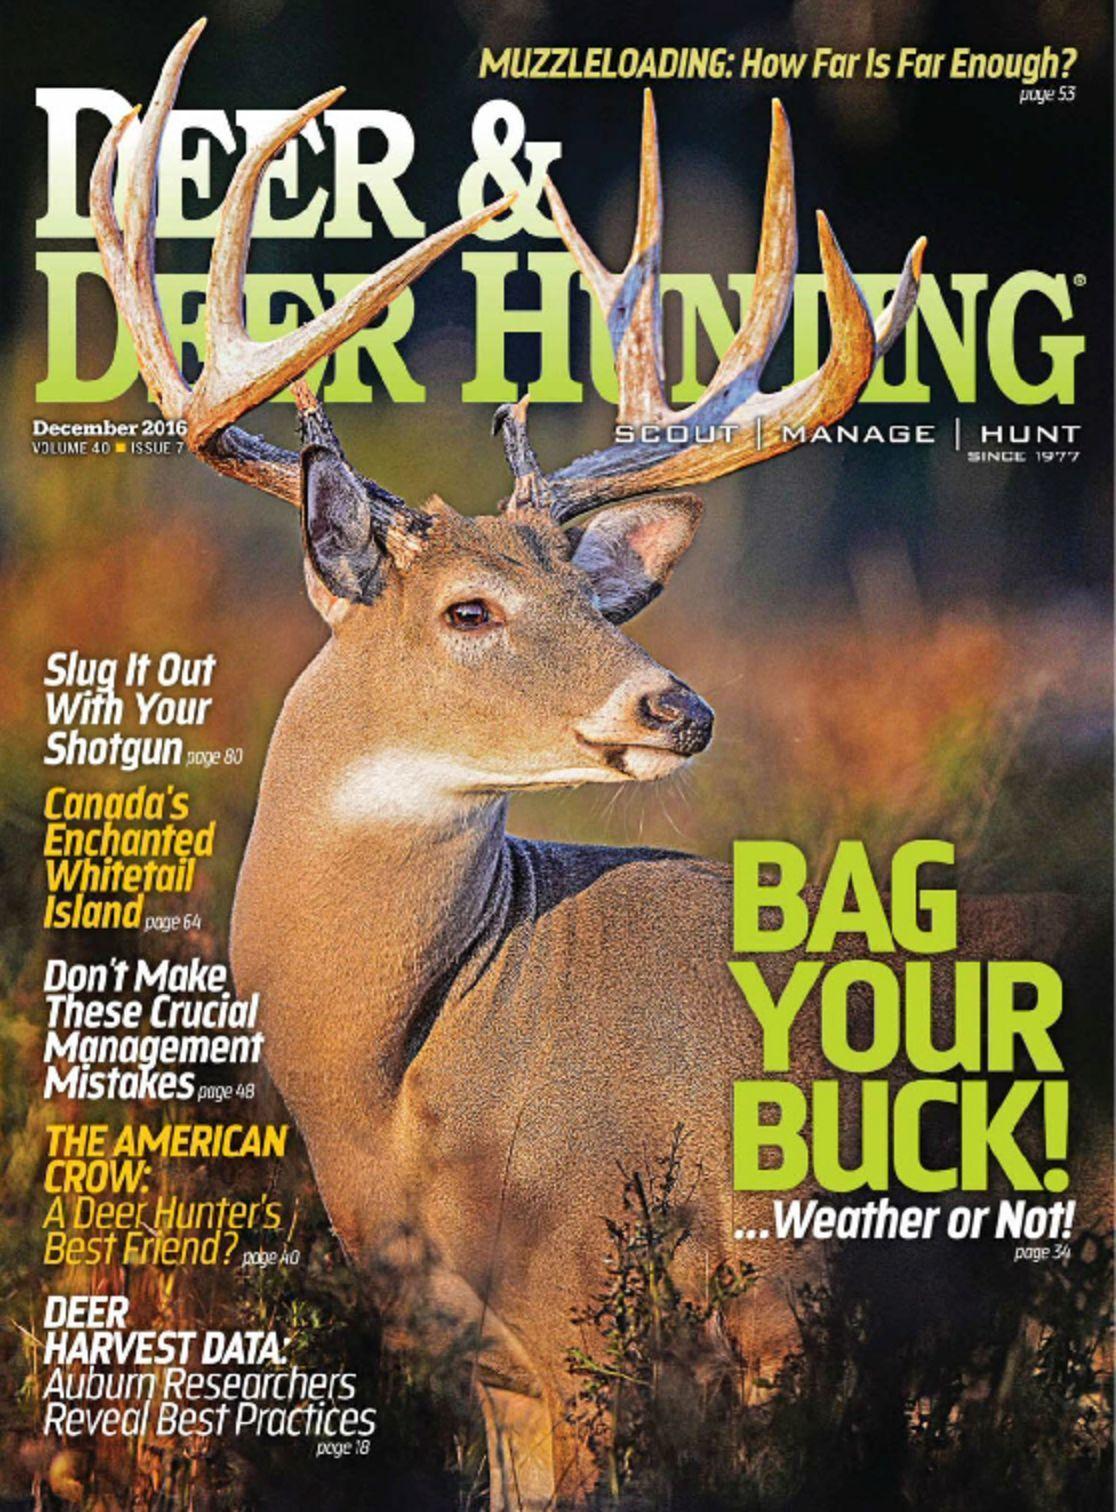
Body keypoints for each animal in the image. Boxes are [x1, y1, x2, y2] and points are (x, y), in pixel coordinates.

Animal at [89, 21, 1097, 1510]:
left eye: (588, 592)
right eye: (469, 609)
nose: (678, 706)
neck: (405, 1085)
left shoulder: (607, 1305)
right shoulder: (491, 1358)